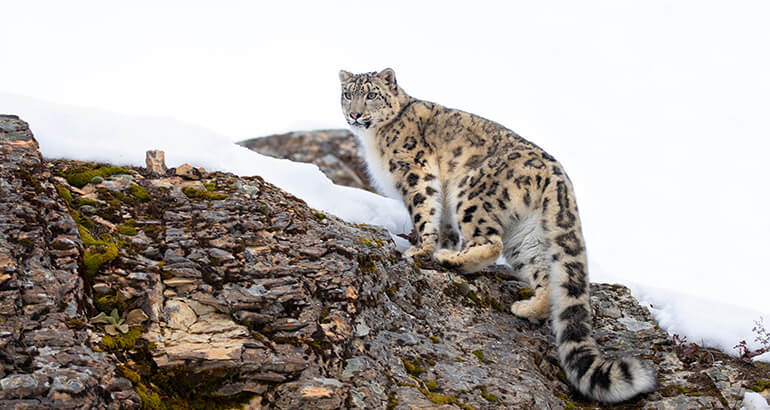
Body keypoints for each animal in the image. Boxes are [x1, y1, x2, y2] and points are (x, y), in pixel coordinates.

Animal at [336, 68, 656, 404]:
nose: (355, 113)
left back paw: (453, 260)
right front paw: (438, 246)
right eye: (348, 94)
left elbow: (425, 210)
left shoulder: (416, 173)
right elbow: (444, 226)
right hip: (526, 234)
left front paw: (422, 249)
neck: (374, 139)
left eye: (372, 94)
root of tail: (557, 174)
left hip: (472, 194)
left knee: (490, 242)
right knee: (543, 274)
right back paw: (526, 307)